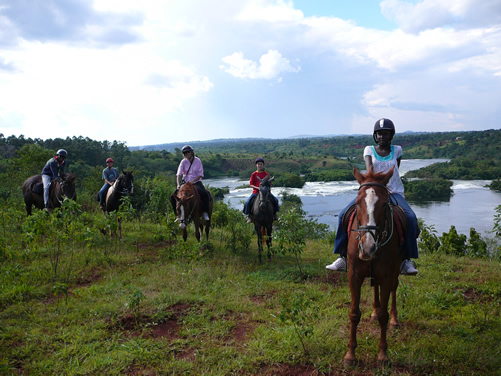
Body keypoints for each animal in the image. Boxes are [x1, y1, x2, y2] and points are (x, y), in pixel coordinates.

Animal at [344, 167, 402, 368]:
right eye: (357, 202)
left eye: (384, 204)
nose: (368, 247)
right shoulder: (354, 275)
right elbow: (354, 313)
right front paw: (350, 354)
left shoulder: (387, 275)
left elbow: (384, 316)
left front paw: (383, 354)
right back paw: (374, 311)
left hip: (395, 271)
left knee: (394, 289)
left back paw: (394, 319)